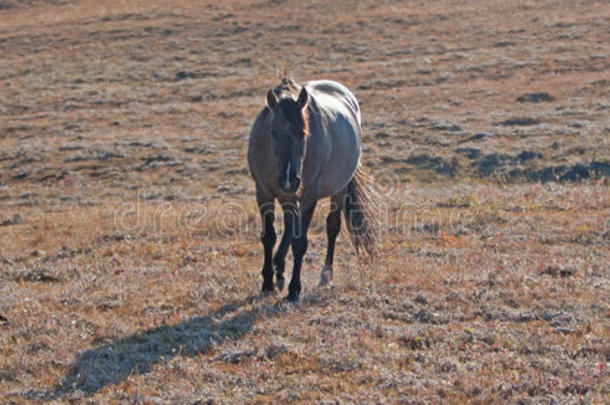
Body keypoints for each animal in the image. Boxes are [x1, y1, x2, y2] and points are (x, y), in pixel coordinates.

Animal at [247, 78, 376, 300]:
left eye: (303, 133)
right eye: (273, 133)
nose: (289, 178)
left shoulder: (309, 196)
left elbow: (300, 242)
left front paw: (294, 288)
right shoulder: (263, 192)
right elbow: (269, 237)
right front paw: (268, 282)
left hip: (338, 189)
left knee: (332, 227)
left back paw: (325, 276)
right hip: (287, 195)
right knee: (290, 224)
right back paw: (279, 269)